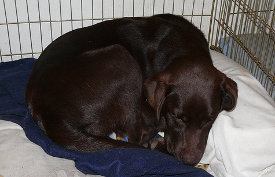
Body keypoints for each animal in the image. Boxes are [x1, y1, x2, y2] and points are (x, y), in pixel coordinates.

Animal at [25, 13, 239, 165]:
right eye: (177, 117)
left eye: (209, 119)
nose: (190, 161)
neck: (184, 47)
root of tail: (48, 115)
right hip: (120, 57)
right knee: (134, 137)